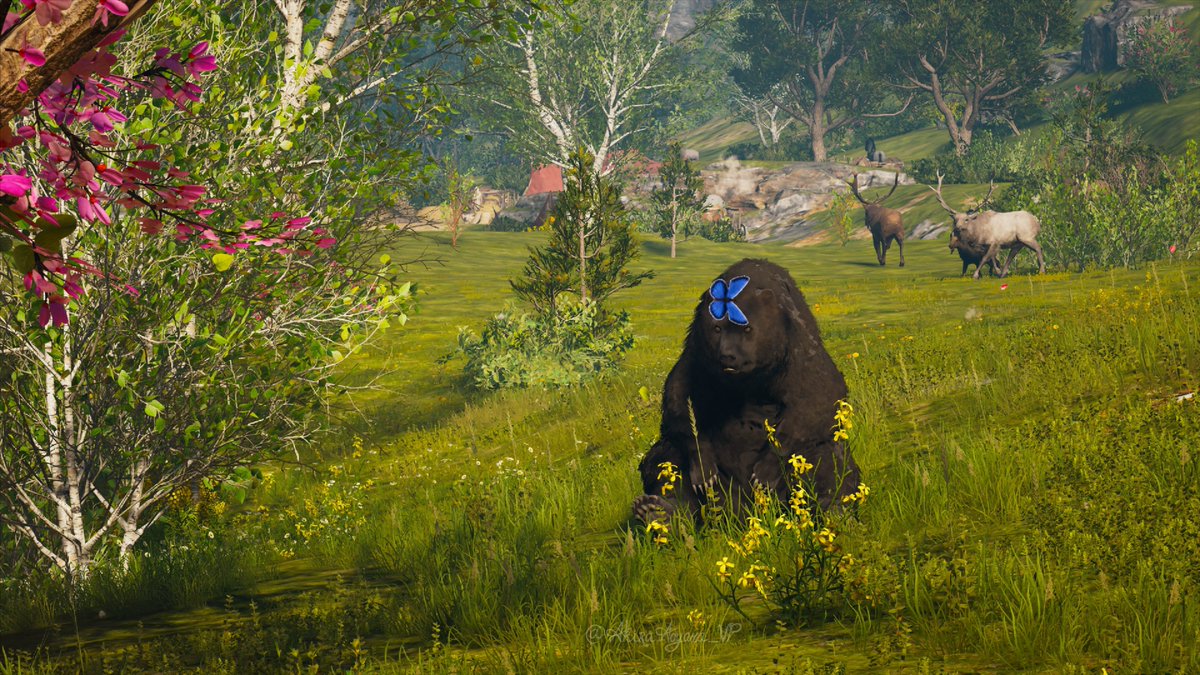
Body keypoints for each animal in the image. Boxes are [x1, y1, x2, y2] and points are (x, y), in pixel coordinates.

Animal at [633, 258, 861, 524]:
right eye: (717, 328)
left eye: (747, 328)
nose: (728, 356)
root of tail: (741, 512)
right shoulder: (699, 357)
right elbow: (680, 400)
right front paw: (704, 470)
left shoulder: (796, 347)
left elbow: (817, 397)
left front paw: (763, 472)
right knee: (664, 457)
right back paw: (658, 510)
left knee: (826, 458)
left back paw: (834, 511)